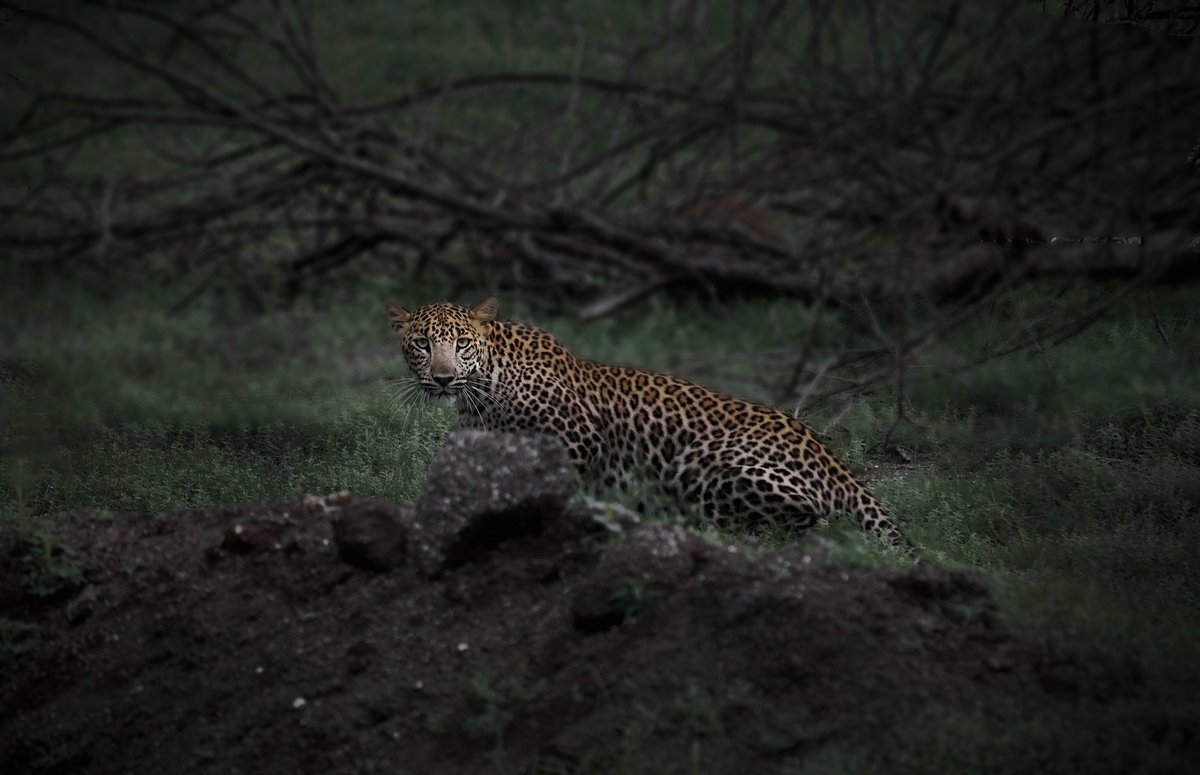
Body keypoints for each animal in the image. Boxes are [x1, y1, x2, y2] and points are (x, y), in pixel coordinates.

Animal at [384, 297, 907, 551]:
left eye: (461, 344)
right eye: (423, 345)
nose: (443, 377)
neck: (486, 381)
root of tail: (834, 463)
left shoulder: (575, 439)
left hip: (706, 469)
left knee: (814, 529)